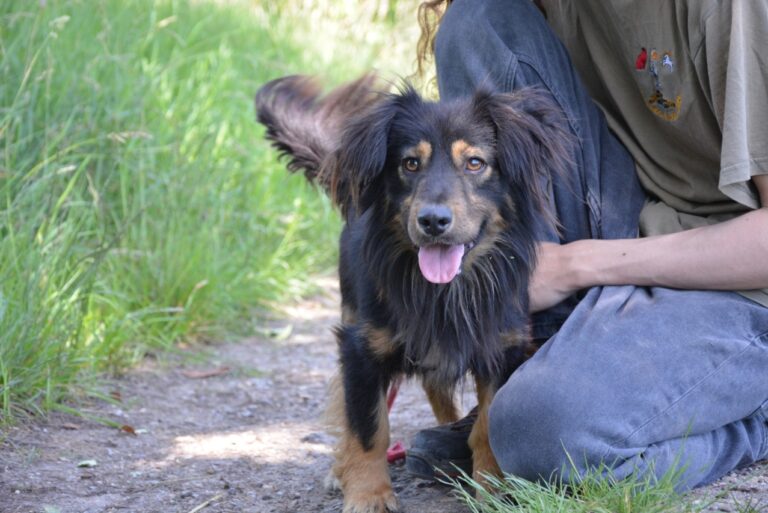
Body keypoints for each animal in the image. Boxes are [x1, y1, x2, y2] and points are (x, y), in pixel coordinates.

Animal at [255, 76, 568, 512]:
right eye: (410, 163)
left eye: (475, 163)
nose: (433, 221)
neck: (442, 290)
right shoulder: (361, 349)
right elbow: (368, 427)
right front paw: (368, 494)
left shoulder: (501, 347)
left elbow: (488, 424)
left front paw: (493, 491)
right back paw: (340, 468)